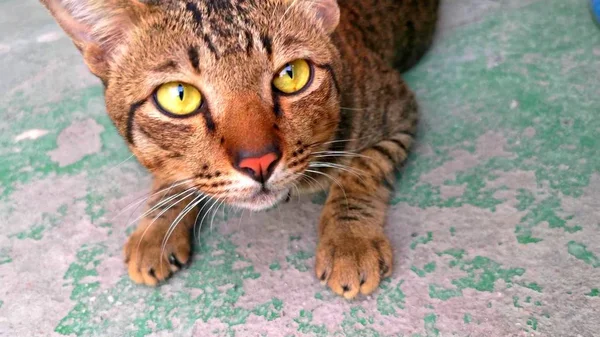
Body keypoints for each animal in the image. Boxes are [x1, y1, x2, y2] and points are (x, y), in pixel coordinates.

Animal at [39, 0, 438, 300]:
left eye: (292, 75)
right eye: (179, 96)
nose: (259, 162)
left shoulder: (400, 111)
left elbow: (362, 170)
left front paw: (349, 240)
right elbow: (170, 174)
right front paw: (156, 225)